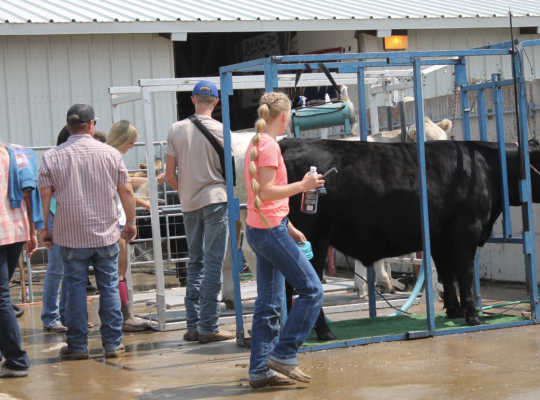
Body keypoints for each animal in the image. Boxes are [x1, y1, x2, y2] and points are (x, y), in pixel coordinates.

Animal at [278, 138, 540, 340]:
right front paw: (473, 316)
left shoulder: (440, 239)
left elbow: (446, 273)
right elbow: (464, 273)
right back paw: (323, 332)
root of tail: (290, 142)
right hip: (314, 238)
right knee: (303, 283)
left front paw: (453, 310)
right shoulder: (467, 231)